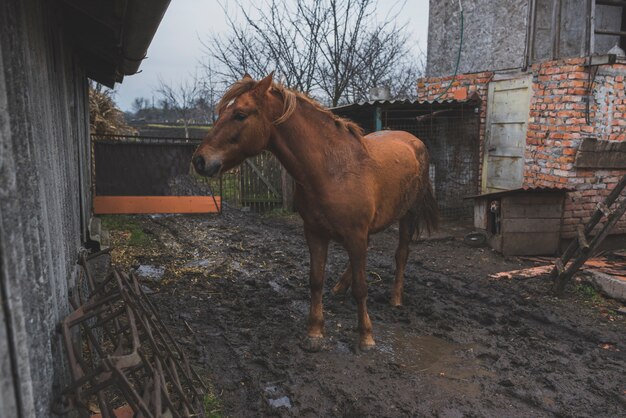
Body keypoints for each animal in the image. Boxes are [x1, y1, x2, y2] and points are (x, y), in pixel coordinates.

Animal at [193, 73, 436, 352]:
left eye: (240, 114)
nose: (199, 160)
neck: (332, 170)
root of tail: (415, 140)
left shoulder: (354, 234)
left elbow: (362, 287)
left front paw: (365, 336)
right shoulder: (315, 233)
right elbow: (316, 280)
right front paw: (315, 332)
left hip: (408, 215)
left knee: (401, 253)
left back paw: (395, 298)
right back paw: (340, 286)